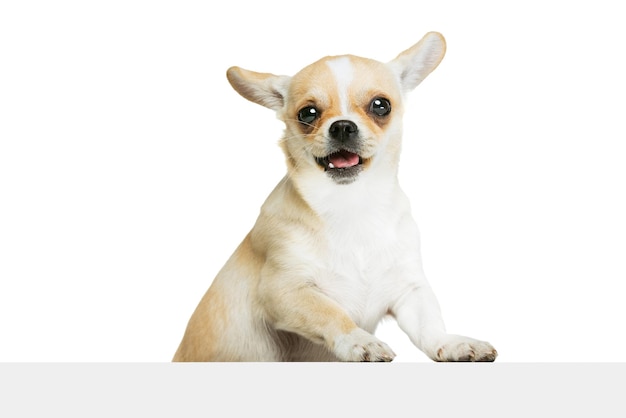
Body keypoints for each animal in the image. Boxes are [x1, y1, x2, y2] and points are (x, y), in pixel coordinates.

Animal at [173, 31, 494, 360]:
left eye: (381, 105)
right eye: (308, 113)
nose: (342, 125)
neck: (352, 204)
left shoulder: (409, 289)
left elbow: (429, 326)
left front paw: (452, 343)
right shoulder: (283, 290)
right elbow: (330, 313)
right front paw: (358, 340)